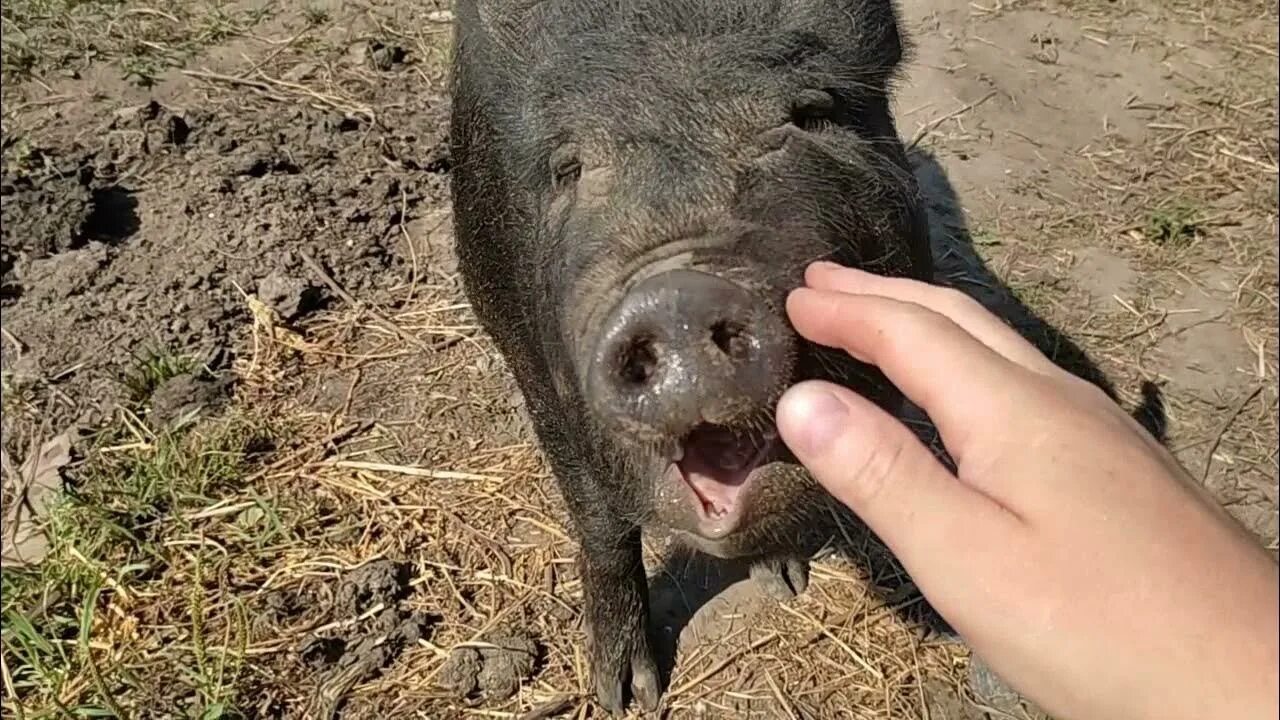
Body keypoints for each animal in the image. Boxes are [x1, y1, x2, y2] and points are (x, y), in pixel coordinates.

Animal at [448, 0, 931, 707]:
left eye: (811, 115)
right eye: (569, 167)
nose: (676, 297)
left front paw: (786, 585)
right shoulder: (534, 367)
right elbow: (600, 518)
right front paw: (626, 696)